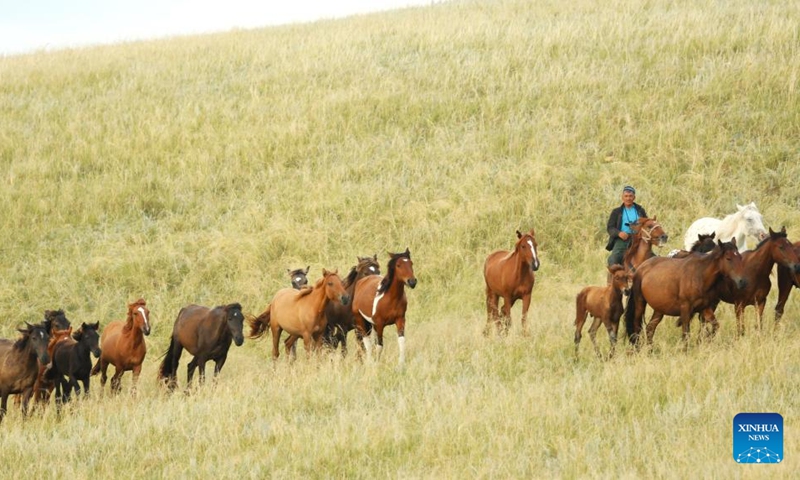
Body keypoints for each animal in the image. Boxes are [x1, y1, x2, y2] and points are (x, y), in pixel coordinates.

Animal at [624, 239, 752, 344]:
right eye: (728, 258)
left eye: (740, 257)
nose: (743, 282)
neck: (700, 276)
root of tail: (641, 268)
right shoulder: (686, 309)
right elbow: (686, 333)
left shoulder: (705, 308)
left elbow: (715, 326)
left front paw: (706, 339)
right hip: (640, 303)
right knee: (637, 327)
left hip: (659, 309)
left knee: (650, 328)